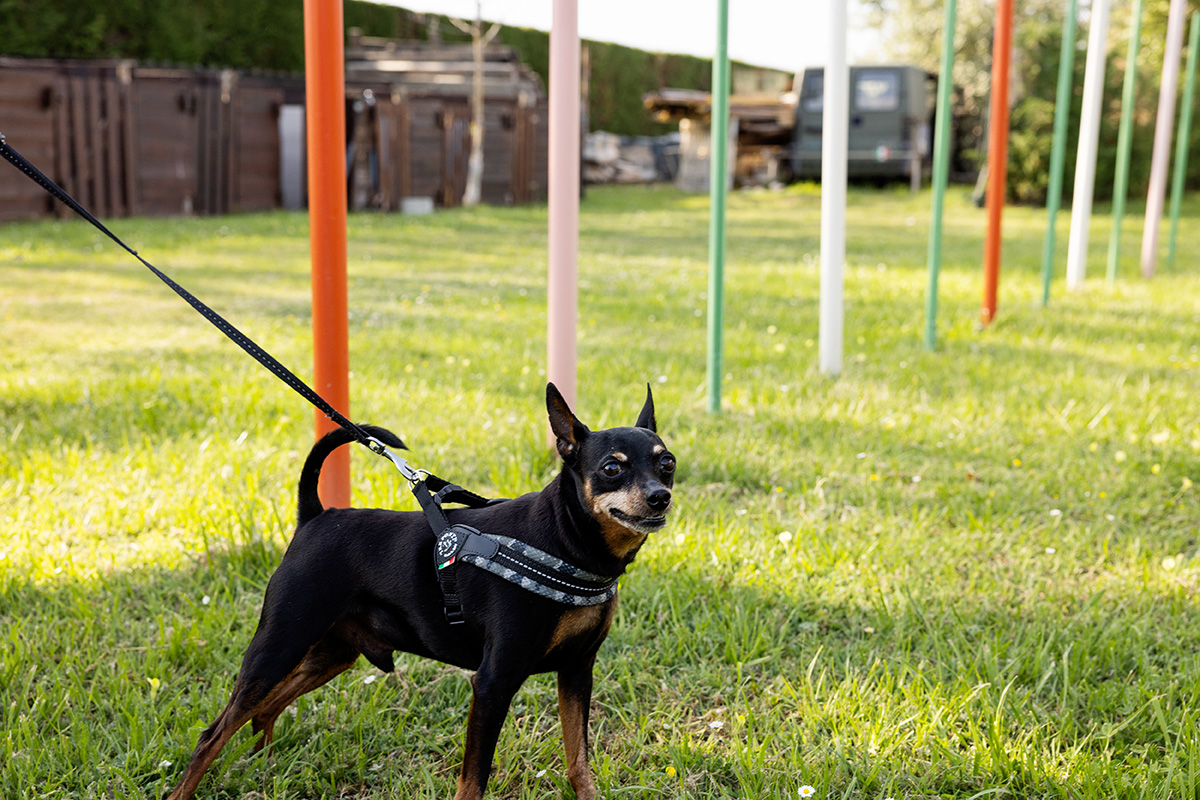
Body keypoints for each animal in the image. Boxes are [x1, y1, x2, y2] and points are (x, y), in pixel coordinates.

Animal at [166, 381, 676, 800]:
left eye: (667, 463)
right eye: (611, 468)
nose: (661, 497)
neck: (566, 542)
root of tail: (316, 516)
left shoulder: (576, 671)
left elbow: (578, 763)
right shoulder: (493, 682)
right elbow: (474, 781)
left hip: (331, 654)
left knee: (264, 712)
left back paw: (267, 770)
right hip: (279, 645)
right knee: (213, 734)